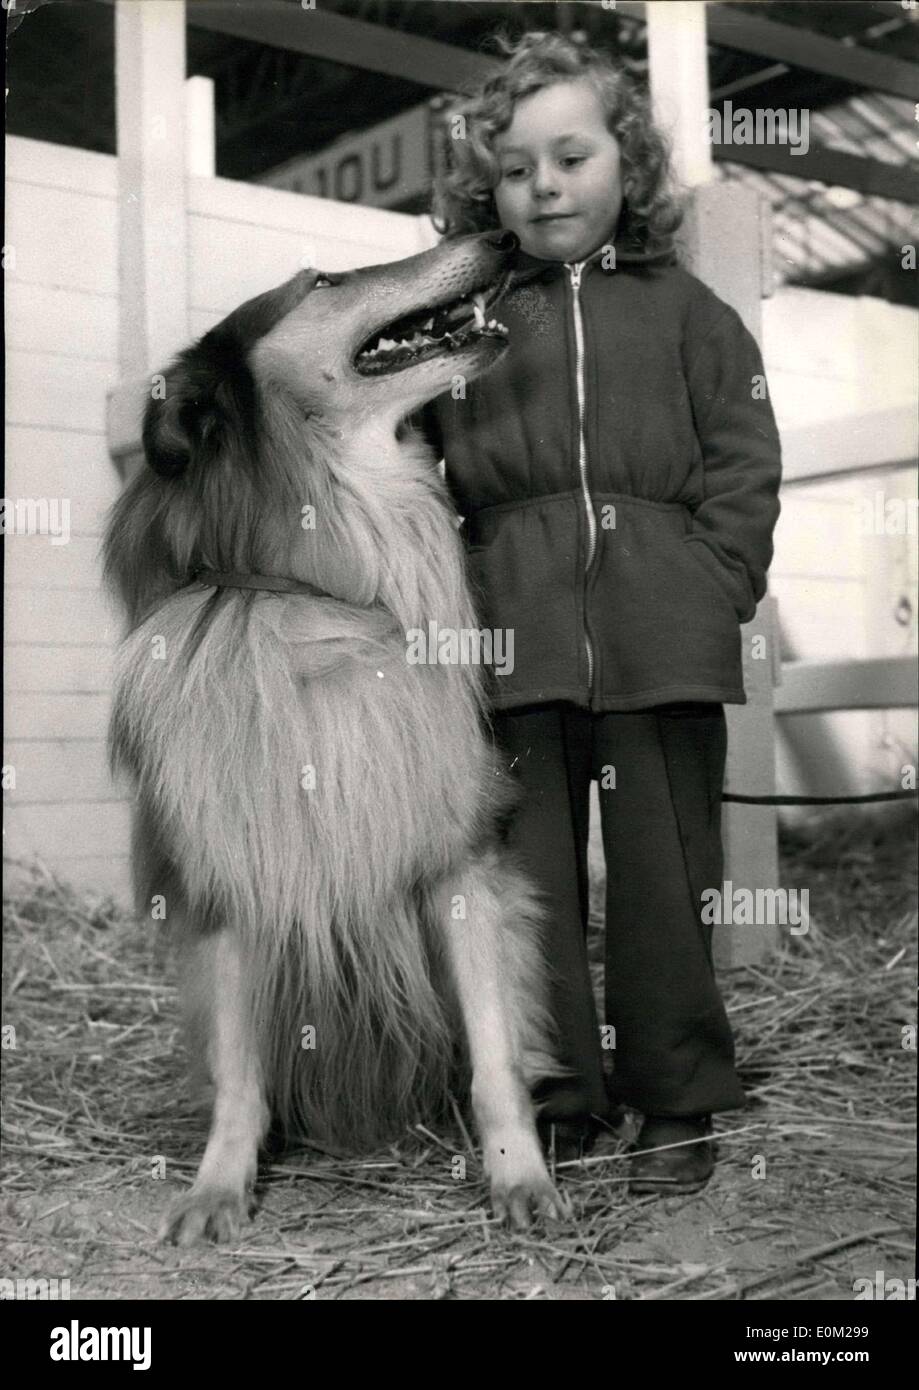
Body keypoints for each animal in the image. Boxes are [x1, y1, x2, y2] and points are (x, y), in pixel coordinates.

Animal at [105, 233, 567, 1245]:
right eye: (320, 283)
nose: (498, 237)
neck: (321, 601)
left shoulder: (459, 859)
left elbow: (494, 1054)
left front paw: (517, 1175)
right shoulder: (235, 869)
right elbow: (240, 1074)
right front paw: (218, 1187)